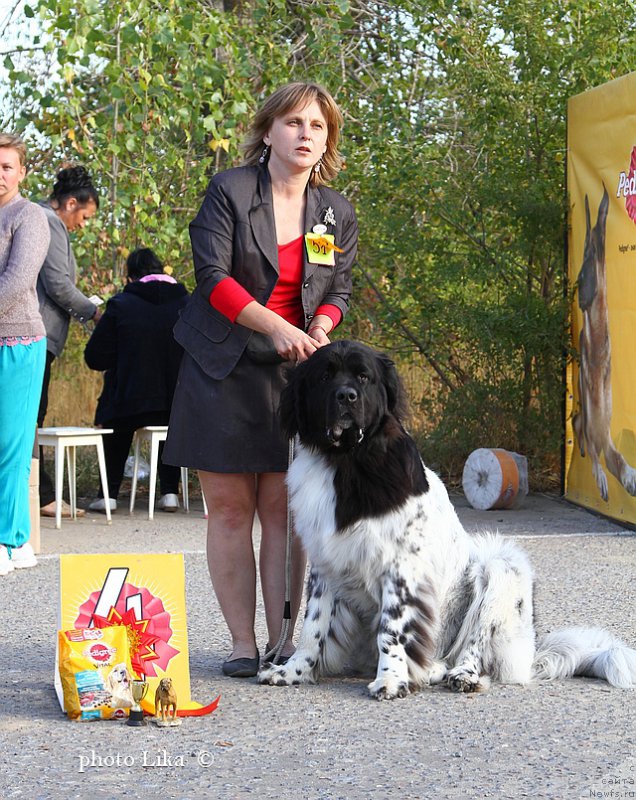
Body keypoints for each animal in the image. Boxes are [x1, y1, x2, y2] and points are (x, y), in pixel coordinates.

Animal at [260, 340, 636, 696]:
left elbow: (391, 630)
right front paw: (293, 671)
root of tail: (532, 654)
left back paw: (459, 674)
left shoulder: (401, 568)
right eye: (325, 377)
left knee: (473, 646)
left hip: (500, 566)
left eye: (363, 377)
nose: (346, 396)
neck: (347, 461)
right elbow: (313, 626)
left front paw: (391, 680)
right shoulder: (325, 565)